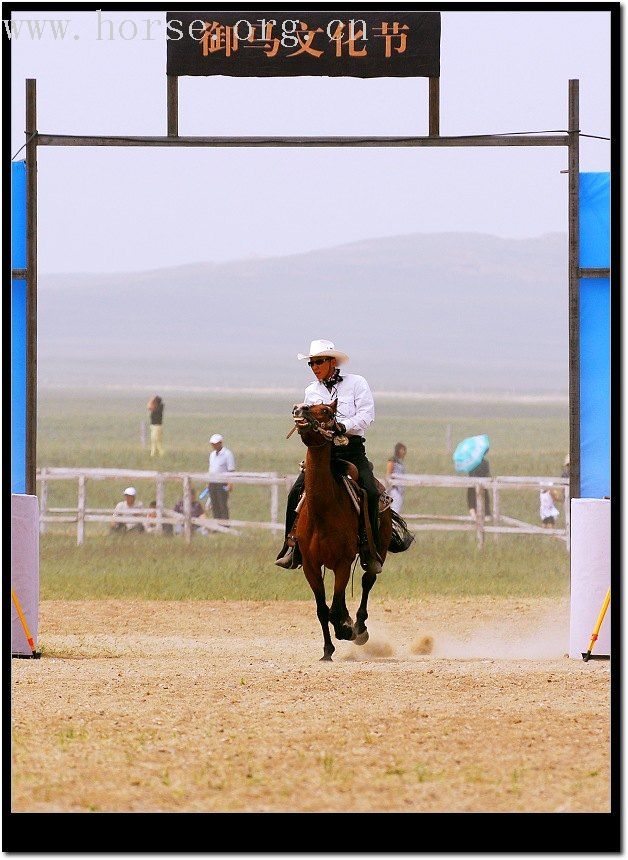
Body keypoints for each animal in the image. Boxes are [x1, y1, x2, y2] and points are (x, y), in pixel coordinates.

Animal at [290, 402, 390, 660]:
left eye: (326, 411)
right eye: (308, 402)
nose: (299, 409)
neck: (323, 512)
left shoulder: (343, 562)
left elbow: (334, 609)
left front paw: (347, 630)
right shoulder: (311, 566)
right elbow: (322, 609)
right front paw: (327, 651)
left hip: (378, 552)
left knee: (367, 580)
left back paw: (360, 629)